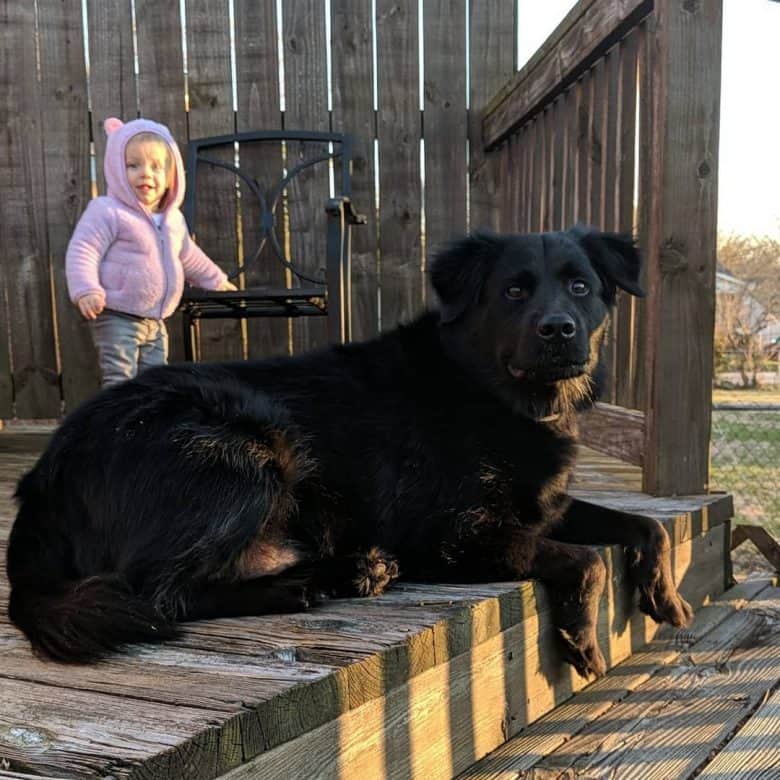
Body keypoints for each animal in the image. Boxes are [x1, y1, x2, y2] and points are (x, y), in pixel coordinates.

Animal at [4, 225, 688, 676]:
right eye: (513, 293)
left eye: (581, 286)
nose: (559, 331)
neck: (498, 394)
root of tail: (41, 482)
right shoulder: (453, 536)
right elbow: (586, 560)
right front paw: (582, 640)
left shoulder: (544, 506)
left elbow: (646, 525)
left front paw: (665, 593)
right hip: (244, 447)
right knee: (159, 593)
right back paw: (298, 589)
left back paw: (349, 571)